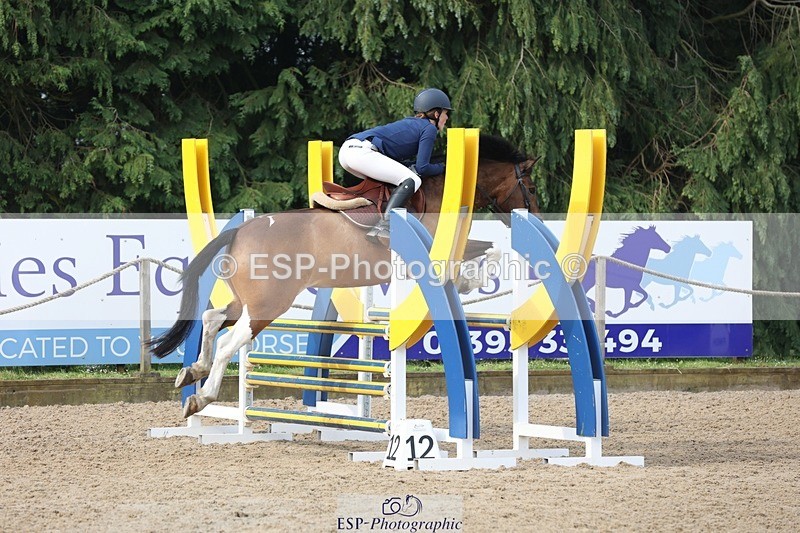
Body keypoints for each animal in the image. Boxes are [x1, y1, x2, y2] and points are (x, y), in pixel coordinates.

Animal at [149, 135, 541, 417]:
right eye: (532, 187)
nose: (534, 212)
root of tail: (240, 231)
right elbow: (488, 253)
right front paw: (476, 279)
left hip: (248, 300)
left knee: (212, 317)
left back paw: (192, 371)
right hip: (268, 304)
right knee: (231, 341)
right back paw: (201, 397)